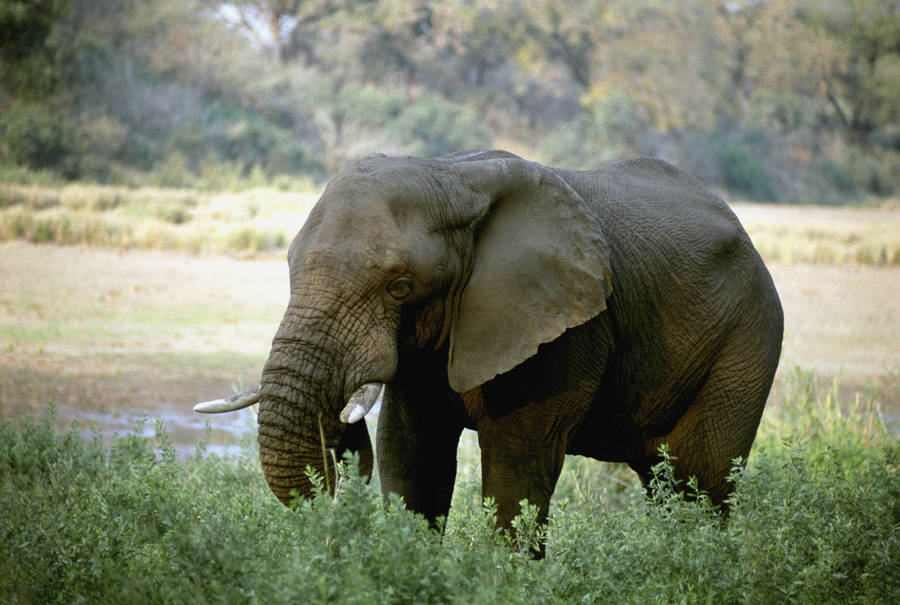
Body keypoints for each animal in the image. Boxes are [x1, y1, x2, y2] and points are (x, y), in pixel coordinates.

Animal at [195, 150, 780, 548]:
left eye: (400, 287)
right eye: (290, 266)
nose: (341, 436)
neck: (451, 177)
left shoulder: (561, 328)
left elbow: (515, 469)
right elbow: (411, 454)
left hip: (748, 337)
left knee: (701, 482)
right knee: (665, 486)